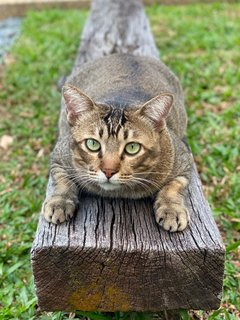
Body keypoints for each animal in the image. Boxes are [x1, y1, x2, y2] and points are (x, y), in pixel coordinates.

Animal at [42, 53, 193, 231]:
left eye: (132, 147)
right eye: (92, 144)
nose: (108, 171)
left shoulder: (183, 159)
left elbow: (174, 186)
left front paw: (171, 209)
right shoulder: (59, 155)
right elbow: (62, 180)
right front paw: (60, 202)